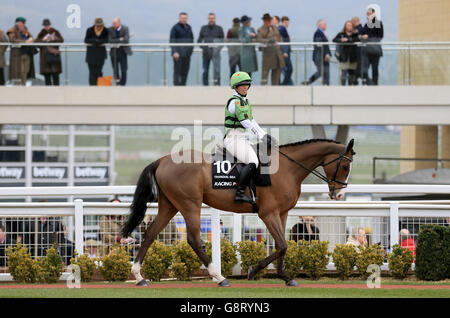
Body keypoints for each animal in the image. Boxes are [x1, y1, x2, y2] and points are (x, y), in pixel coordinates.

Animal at [122, 138, 356, 286]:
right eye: (345, 166)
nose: (339, 195)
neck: (287, 168)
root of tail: (162, 160)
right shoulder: (268, 213)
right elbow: (282, 245)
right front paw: (253, 270)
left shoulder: (282, 213)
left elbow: (282, 246)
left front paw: (285, 276)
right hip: (189, 204)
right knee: (194, 240)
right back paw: (219, 277)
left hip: (170, 205)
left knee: (150, 234)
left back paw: (139, 276)